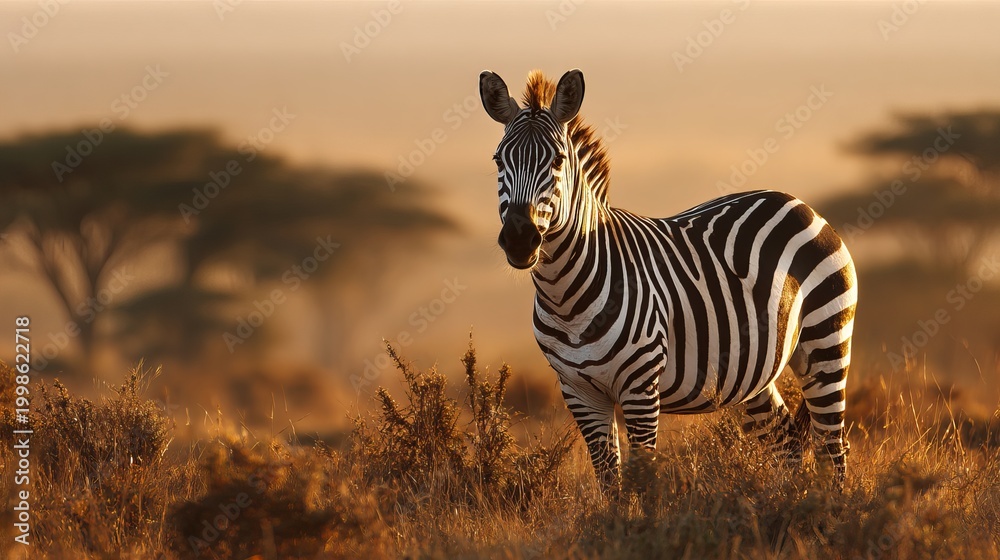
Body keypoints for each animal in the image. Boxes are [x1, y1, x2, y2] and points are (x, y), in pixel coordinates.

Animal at [479, 69, 857, 490]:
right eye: (498, 159)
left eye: (558, 160)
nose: (519, 238)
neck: (565, 296)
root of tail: (796, 202)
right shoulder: (578, 392)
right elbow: (609, 481)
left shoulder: (641, 388)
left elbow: (642, 479)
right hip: (753, 371)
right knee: (786, 437)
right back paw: (789, 500)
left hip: (826, 341)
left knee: (832, 446)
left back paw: (826, 504)